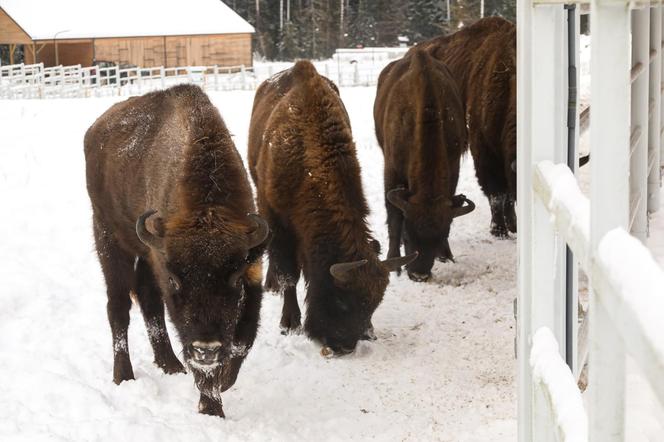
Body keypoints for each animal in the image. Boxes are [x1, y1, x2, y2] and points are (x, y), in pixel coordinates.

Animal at [84, 83, 268, 418]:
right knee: (118, 307)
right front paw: (212, 409)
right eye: (176, 280)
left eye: (234, 278)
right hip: (108, 237)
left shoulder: (252, 269)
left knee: (148, 300)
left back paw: (169, 364)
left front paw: (225, 381)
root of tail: (96, 129)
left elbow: (243, 339)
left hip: (143, 254)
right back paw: (123, 375)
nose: (206, 348)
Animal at [249, 59, 416, 356]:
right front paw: (289, 323)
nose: (343, 346)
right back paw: (271, 284)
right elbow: (289, 275)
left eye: (374, 303)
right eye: (341, 300)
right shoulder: (278, 223)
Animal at [374, 47, 478, 284]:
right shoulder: (391, 171)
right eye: (408, 235)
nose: (419, 274)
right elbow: (394, 216)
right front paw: (394, 262)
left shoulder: (453, 165)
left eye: (443, 235)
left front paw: (446, 255)